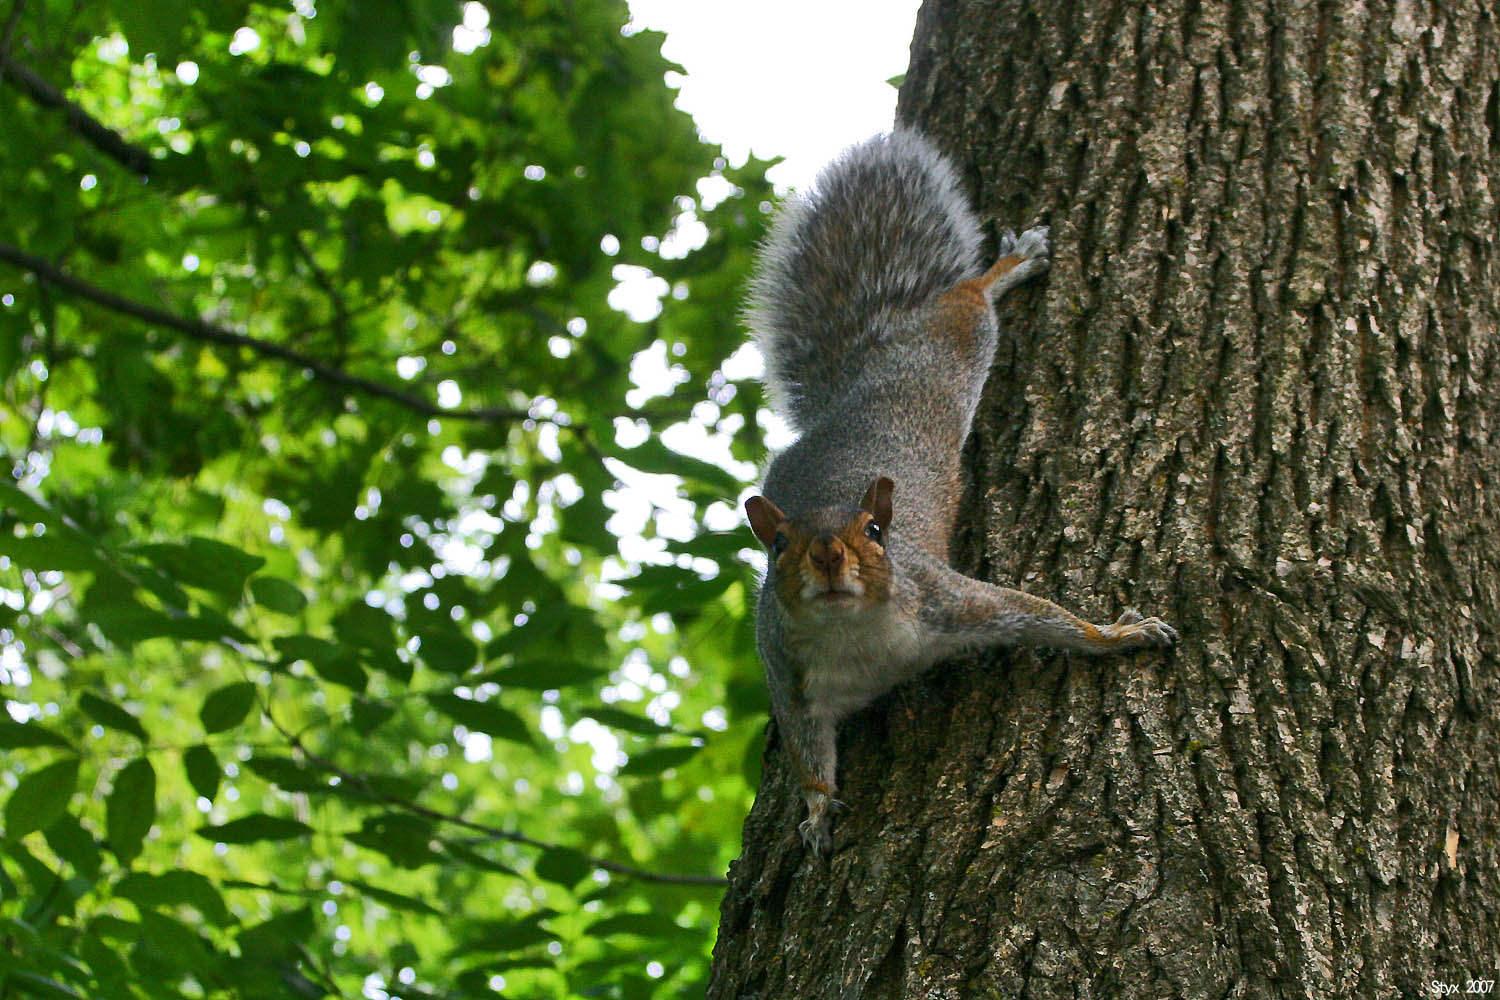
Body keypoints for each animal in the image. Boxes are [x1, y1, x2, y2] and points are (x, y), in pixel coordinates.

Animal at [744, 128, 1176, 857]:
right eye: (777, 545)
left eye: (876, 532)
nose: (828, 557)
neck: (854, 635)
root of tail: (854, 385)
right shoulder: (785, 672)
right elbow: (808, 754)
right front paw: (817, 813)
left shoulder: (951, 600)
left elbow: (1040, 615)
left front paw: (1118, 635)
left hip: (948, 350)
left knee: (966, 299)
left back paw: (1012, 265)